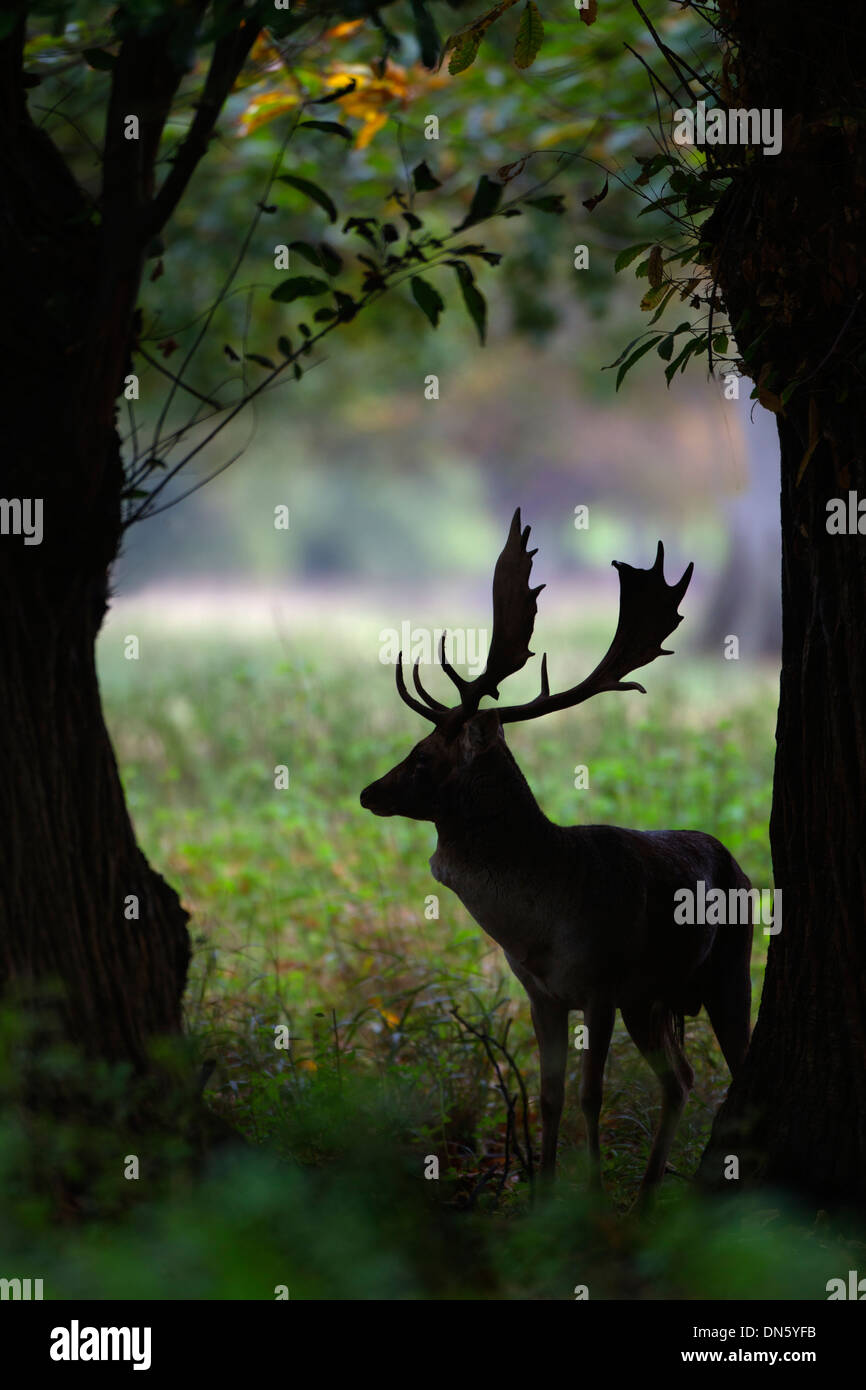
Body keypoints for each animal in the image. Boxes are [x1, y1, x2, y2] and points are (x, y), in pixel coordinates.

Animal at [358, 511, 750, 1206]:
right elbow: (549, 1096)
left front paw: (588, 1197)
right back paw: (647, 1196)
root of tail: (738, 864)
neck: (539, 926)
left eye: (423, 757)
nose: (368, 792)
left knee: (736, 1072)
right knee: (680, 1079)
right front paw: (541, 1195)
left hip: (730, 967)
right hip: (653, 1001)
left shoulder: (601, 984)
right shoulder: (540, 991)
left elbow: (592, 1095)